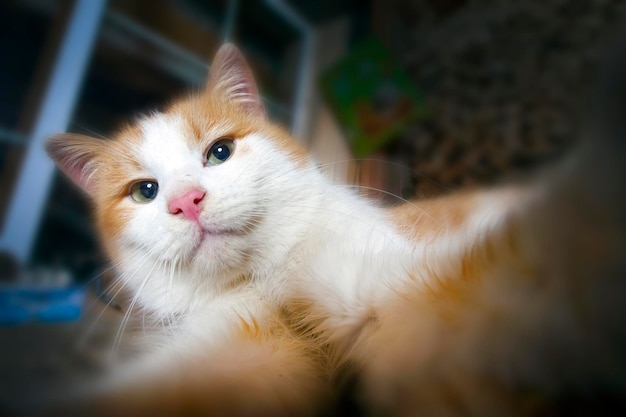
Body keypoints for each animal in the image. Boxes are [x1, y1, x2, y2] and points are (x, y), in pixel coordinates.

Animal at [44, 39, 624, 416]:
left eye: (220, 152)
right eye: (145, 191)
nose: (188, 201)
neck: (271, 281)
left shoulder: (401, 294)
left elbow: (526, 258)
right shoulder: (237, 352)